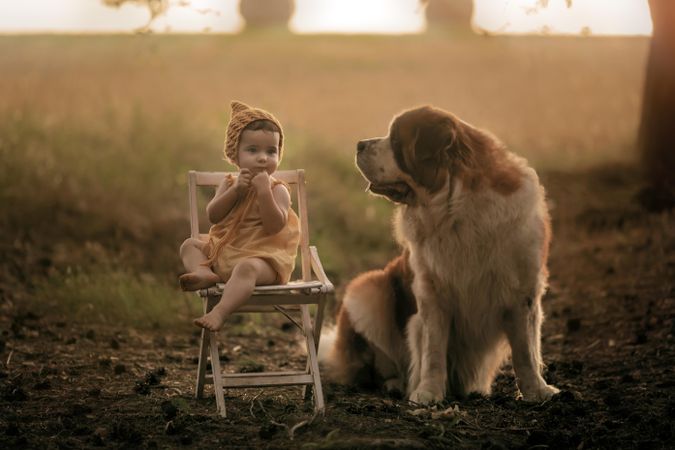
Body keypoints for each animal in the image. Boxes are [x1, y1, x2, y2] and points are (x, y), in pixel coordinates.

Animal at [322, 105, 560, 404]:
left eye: (396, 140)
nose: (359, 144)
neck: (455, 208)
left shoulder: (523, 291)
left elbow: (525, 350)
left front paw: (537, 390)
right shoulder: (431, 293)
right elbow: (433, 352)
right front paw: (427, 393)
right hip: (368, 288)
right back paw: (395, 384)